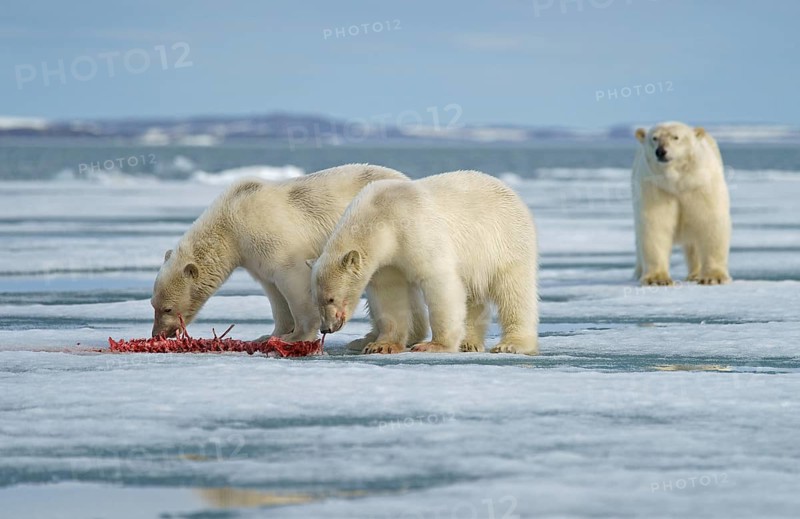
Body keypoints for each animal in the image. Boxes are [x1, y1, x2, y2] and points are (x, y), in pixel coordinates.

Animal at [150, 163, 428, 348]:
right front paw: (269, 334)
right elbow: (273, 292)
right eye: (152, 304)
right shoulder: (253, 255)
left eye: (167, 308)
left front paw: (296, 336)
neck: (231, 222)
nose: (157, 334)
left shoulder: (271, 238)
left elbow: (293, 281)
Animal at [307, 170, 539, 355]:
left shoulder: (415, 230)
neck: (381, 214)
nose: (326, 328)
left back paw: (511, 344)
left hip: (505, 242)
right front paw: (381, 345)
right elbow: (390, 294)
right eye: (316, 300)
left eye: (331, 298)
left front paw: (435, 345)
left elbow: (439, 281)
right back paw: (469, 342)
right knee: (474, 296)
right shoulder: (387, 262)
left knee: (514, 292)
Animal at [632, 122, 732, 286]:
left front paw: (713, 277)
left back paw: (695, 274)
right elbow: (655, 225)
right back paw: (638, 273)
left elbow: (710, 223)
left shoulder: (701, 186)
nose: (661, 151)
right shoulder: (655, 188)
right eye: (654, 138)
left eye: (676, 137)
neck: (678, 182)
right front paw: (657, 279)